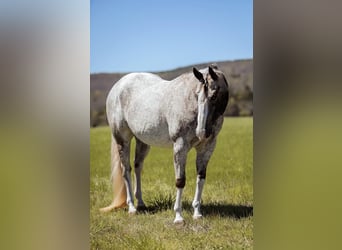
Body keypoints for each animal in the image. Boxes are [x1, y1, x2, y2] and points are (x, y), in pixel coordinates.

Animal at [100, 65, 231, 224]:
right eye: (197, 95)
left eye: (214, 96)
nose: (201, 132)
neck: (189, 102)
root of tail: (118, 86)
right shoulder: (180, 147)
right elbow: (180, 181)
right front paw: (178, 217)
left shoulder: (207, 147)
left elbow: (201, 178)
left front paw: (197, 213)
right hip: (122, 140)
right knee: (126, 170)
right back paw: (132, 208)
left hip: (142, 141)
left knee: (137, 167)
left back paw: (141, 204)